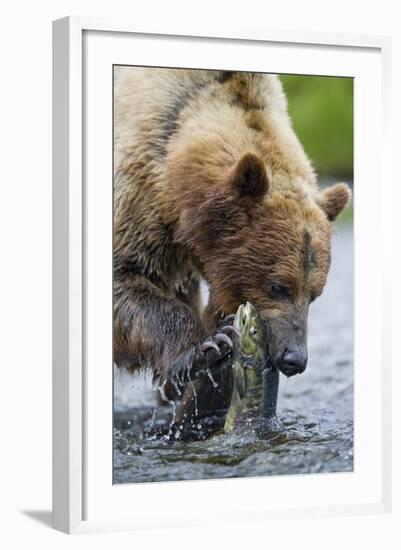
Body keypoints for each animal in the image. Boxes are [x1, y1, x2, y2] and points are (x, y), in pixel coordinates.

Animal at [112, 69, 350, 430]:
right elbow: (127, 278)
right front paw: (206, 346)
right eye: (278, 286)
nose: (295, 357)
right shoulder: (139, 196)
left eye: (315, 294)